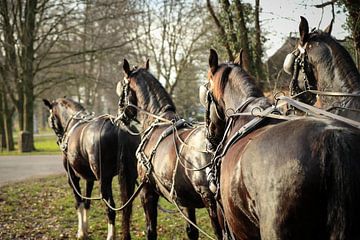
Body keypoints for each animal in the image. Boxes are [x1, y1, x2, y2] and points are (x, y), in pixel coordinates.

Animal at [41, 98, 139, 240]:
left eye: (50, 117)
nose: (60, 141)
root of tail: (119, 126)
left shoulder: (72, 178)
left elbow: (79, 202)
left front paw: (81, 232)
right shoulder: (89, 178)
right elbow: (87, 202)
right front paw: (85, 229)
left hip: (105, 180)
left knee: (111, 207)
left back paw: (110, 235)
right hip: (129, 177)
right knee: (127, 207)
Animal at [116, 58, 222, 240]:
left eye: (122, 86)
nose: (119, 114)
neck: (158, 121)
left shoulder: (147, 192)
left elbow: (151, 231)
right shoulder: (185, 199)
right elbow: (191, 231)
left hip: (212, 203)